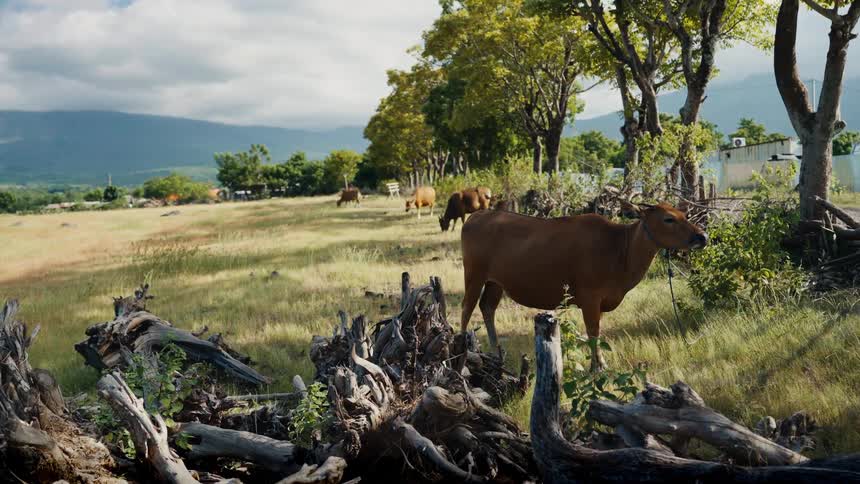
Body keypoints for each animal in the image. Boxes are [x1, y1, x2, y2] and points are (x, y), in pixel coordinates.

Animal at [459, 201, 707, 372]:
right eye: (668, 219)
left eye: (685, 215)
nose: (702, 236)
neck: (620, 250)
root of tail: (474, 217)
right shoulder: (590, 297)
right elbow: (593, 331)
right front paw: (598, 366)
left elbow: (597, 331)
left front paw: (598, 363)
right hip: (474, 273)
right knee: (466, 307)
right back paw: (462, 350)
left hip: (495, 281)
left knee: (487, 307)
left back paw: (496, 352)